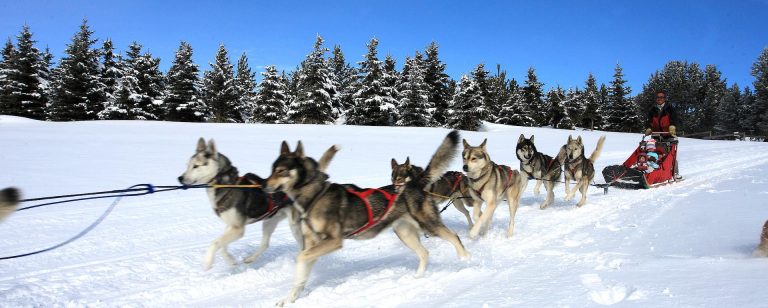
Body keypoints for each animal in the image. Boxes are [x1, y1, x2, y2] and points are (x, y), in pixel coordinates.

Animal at [178, 137, 330, 270]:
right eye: (187, 165)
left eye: (196, 166)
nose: (180, 178)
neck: (227, 184)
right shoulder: (232, 225)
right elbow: (222, 246)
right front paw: (231, 261)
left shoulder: (238, 229)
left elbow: (215, 243)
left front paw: (208, 262)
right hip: (269, 221)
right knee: (265, 244)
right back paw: (250, 258)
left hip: (294, 225)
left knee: (302, 246)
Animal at [268, 131, 472, 306]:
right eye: (272, 169)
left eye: (281, 171)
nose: (264, 184)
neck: (315, 195)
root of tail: (414, 183)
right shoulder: (312, 243)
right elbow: (301, 274)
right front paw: (289, 298)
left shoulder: (334, 241)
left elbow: (301, 257)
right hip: (405, 233)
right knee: (424, 253)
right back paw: (418, 277)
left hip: (428, 224)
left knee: (454, 237)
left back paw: (466, 260)